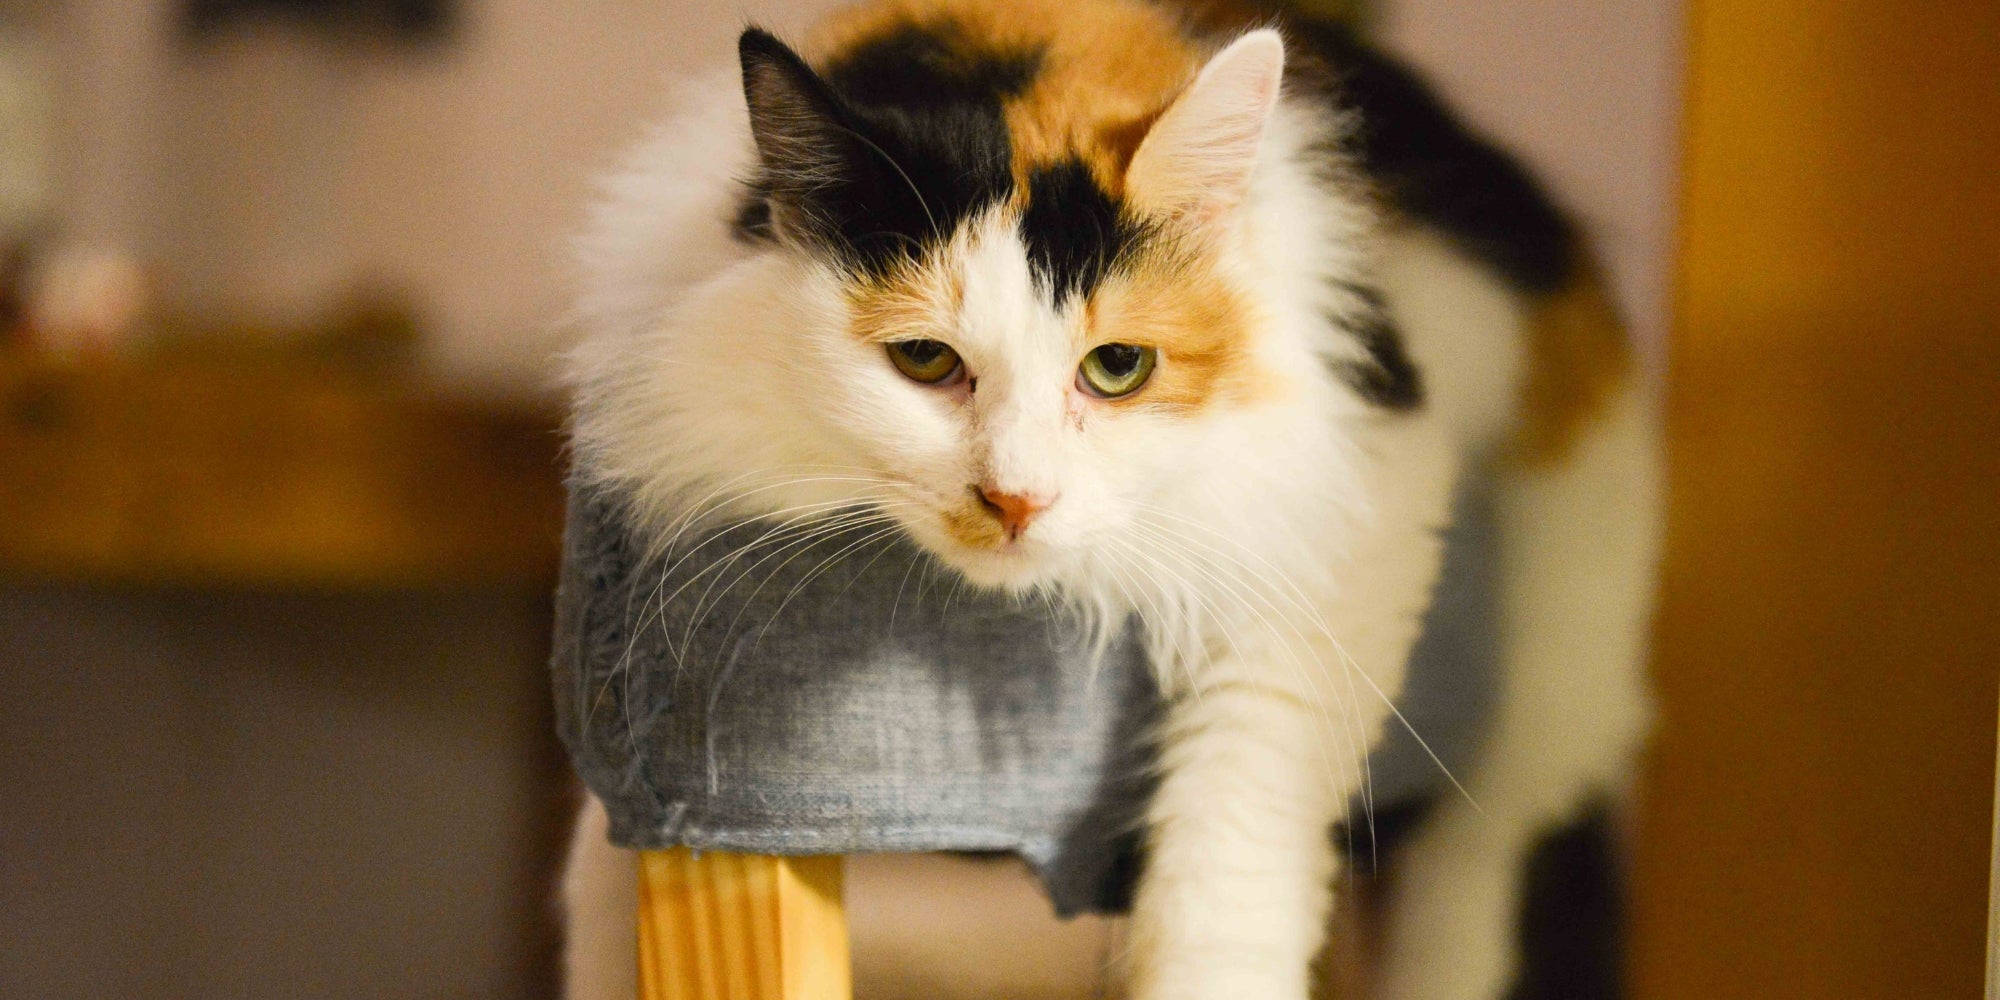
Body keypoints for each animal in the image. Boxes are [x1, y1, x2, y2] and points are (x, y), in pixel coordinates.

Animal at [560, 3, 1656, 996]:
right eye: (924, 360)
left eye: (1117, 367)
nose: (1015, 499)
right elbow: (598, 879)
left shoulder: (1357, 488)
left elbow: (1236, 835)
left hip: (1556, 642)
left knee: (1479, 854)